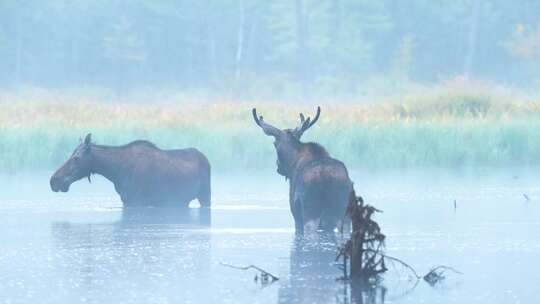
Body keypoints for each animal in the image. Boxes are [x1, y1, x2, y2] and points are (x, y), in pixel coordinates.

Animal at [50, 134, 211, 208]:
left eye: (76, 158)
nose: (54, 180)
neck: (115, 172)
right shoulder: (127, 200)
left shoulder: (136, 201)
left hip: (205, 195)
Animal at [253, 107, 354, 235]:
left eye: (275, 144)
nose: (278, 166)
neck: (292, 163)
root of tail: (327, 178)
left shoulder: (295, 213)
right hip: (345, 214)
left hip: (310, 210)